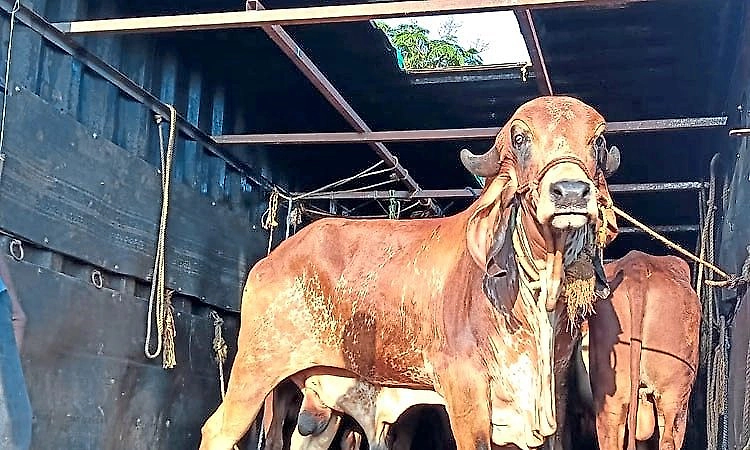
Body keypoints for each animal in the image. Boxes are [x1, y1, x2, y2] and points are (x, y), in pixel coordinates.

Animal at [199, 96, 621, 450]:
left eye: (598, 140)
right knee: (218, 430)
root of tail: (271, 259)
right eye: (520, 138)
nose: (570, 192)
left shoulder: (557, 390)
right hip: (257, 367)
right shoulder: (464, 389)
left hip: (319, 399)